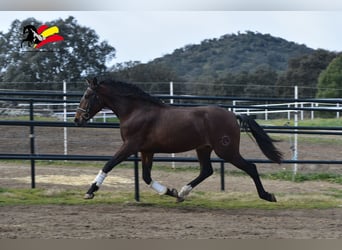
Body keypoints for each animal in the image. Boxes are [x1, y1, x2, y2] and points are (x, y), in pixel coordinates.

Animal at [75, 78, 284, 203]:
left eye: (87, 95)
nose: (77, 119)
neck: (136, 111)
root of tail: (233, 115)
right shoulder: (146, 150)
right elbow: (146, 177)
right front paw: (170, 191)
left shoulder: (130, 146)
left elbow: (108, 165)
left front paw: (90, 191)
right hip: (204, 148)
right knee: (206, 170)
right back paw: (182, 193)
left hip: (227, 150)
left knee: (251, 168)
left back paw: (268, 196)